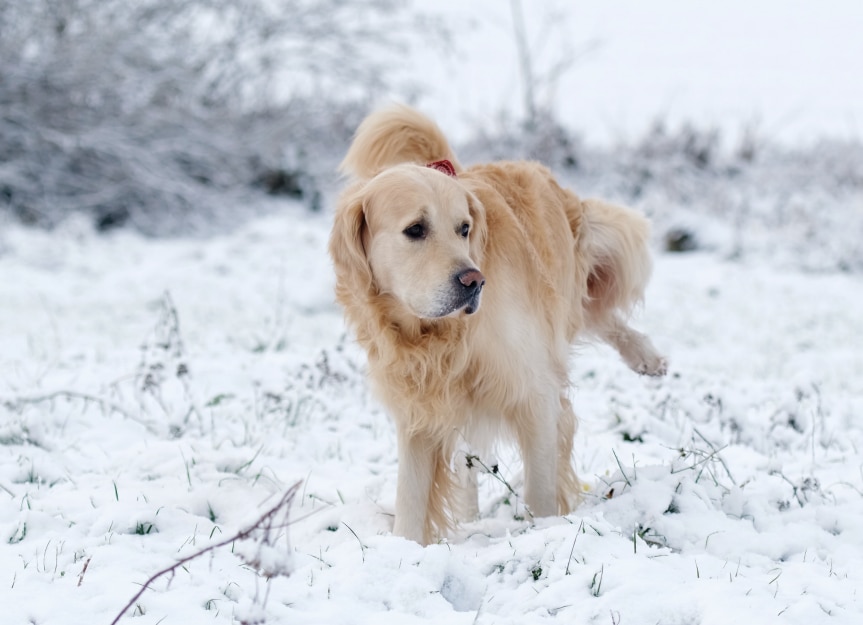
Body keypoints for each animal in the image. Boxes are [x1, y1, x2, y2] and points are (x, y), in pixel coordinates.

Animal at [330, 105, 668, 544]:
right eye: (415, 229)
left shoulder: (534, 393)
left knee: (600, 308)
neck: (440, 336)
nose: (474, 281)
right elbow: (411, 501)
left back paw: (646, 357)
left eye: (464, 229)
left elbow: (540, 490)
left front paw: (546, 534)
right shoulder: (419, 409)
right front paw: (405, 551)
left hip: (579, 270)